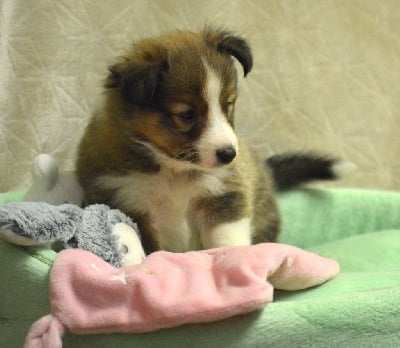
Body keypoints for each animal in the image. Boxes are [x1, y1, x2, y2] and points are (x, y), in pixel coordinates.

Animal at [76, 27, 352, 256]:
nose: (229, 154)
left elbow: (228, 237)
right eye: (186, 114)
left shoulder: (224, 195)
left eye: (227, 104)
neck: (174, 171)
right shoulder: (130, 204)